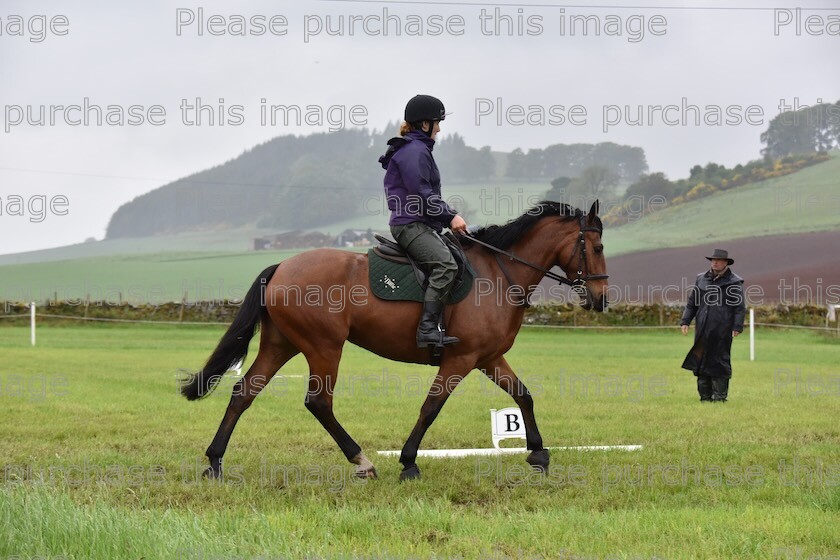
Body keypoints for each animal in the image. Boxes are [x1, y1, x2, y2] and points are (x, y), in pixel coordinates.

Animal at [180, 201, 608, 482]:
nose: (602, 300)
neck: (499, 275)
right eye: (598, 247)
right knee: (318, 403)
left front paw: (538, 454)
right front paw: (408, 462)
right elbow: (431, 408)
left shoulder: (488, 358)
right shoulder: (461, 359)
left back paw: (215, 463)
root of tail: (282, 265)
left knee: (243, 393)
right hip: (324, 347)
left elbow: (524, 396)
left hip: (282, 344)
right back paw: (362, 461)